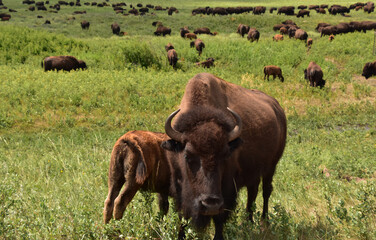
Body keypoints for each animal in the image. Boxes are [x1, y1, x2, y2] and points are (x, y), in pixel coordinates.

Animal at [160, 72, 286, 239]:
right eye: (187, 155)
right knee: (252, 193)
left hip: (271, 166)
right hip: (254, 171)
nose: (210, 205)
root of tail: (277, 108)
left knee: (266, 191)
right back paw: (248, 223)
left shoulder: (227, 189)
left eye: (225, 154)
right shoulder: (179, 186)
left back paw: (264, 222)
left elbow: (220, 218)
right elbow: (182, 216)